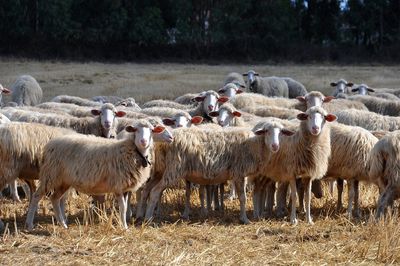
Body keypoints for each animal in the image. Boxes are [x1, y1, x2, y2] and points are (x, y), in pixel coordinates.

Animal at [24, 119, 169, 230]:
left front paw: (124, 224)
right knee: (37, 196)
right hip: (50, 175)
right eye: (136, 130)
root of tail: (49, 145)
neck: (133, 151)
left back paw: (63, 224)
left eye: (151, 131)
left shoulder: (125, 187)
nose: (143, 141)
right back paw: (29, 223)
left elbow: (125, 206)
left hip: (63, 180)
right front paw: (124, 227)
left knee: (55, 198)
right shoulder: (118, 186)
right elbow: (122, 207)